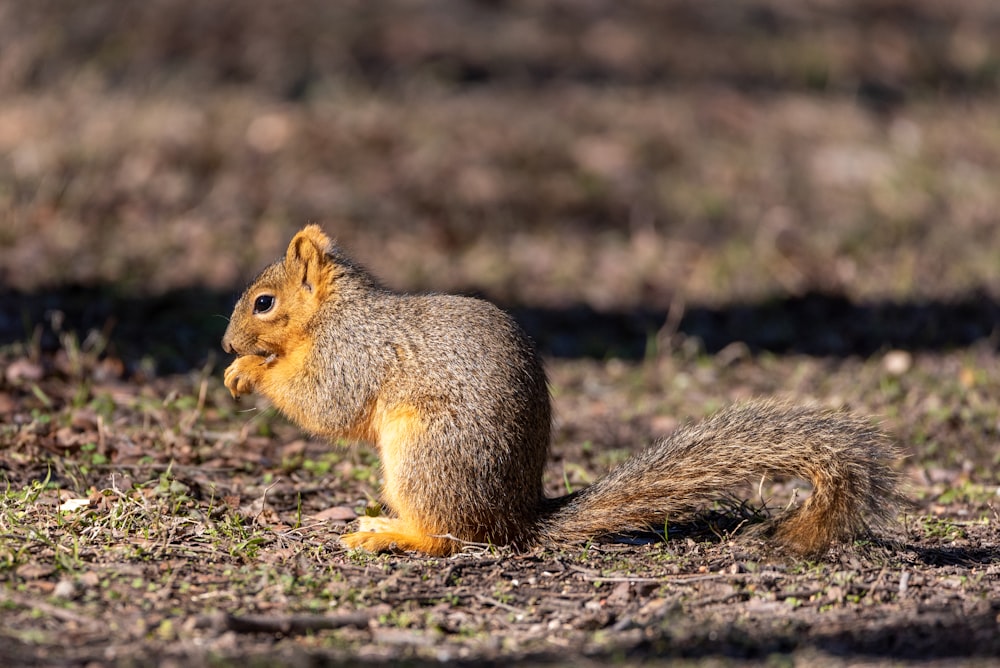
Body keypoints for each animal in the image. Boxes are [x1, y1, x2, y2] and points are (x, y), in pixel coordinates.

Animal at [223, 227, 904, 556]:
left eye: (264, 303)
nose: (227, 344)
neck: (335, 314)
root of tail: (515, 520)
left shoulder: (353, 354)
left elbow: (324, 402)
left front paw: (252, 372)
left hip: (426, 455)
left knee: (451, 539)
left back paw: (391, 536)